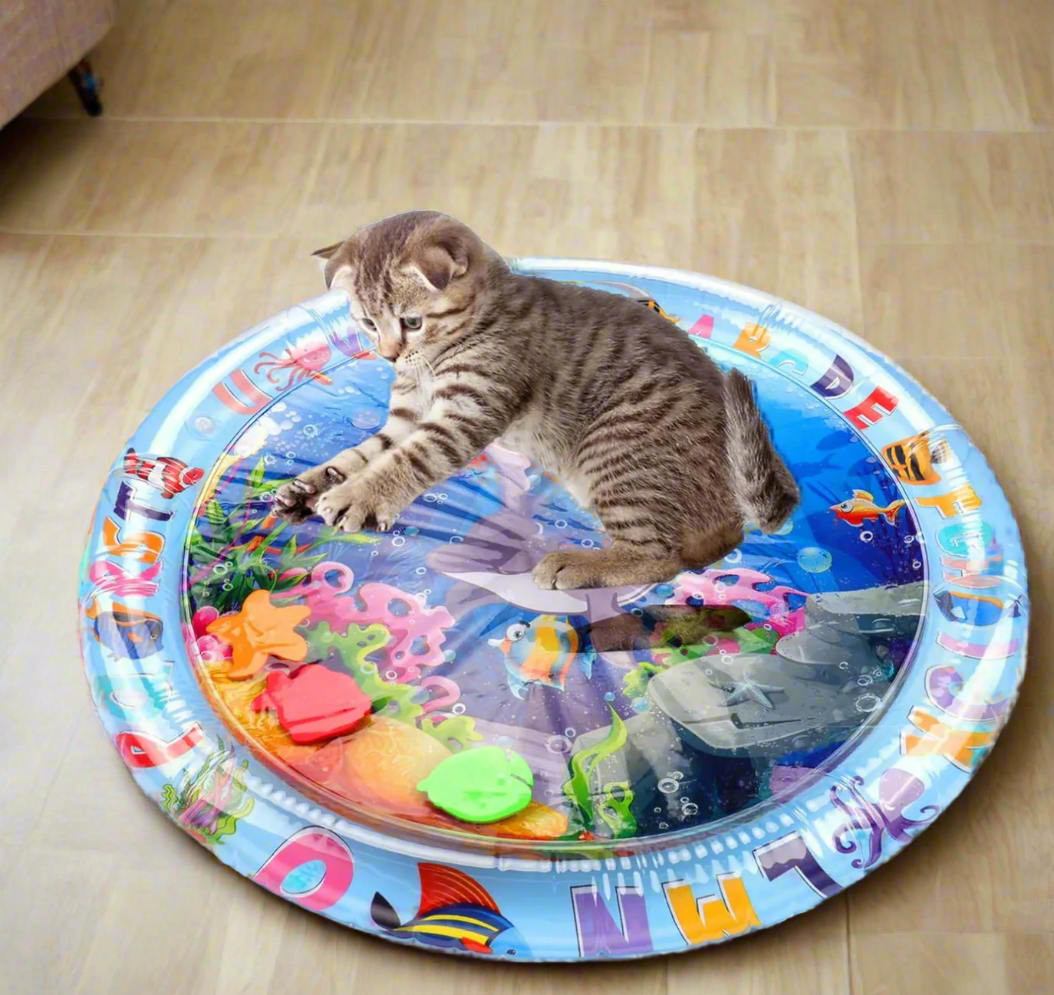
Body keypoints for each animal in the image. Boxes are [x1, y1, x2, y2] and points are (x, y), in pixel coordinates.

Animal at [276, 210, 792, 590]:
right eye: (366, 323)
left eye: (412, 322)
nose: (388, 355)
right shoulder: (405, 416)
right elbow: (365, 452)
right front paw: (315, 483)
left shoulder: (467, 413)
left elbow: (408, 459)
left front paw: (358, 495)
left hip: (615, 446)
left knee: (662, 558)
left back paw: (578, 564)